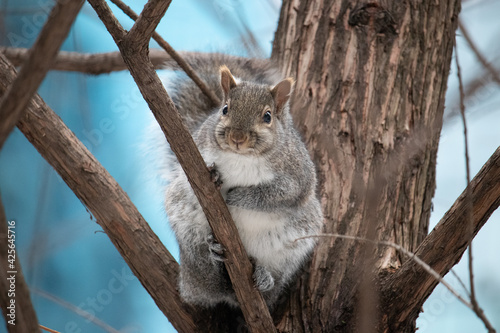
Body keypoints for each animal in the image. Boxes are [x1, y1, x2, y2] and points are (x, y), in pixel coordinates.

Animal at [160, 57, 324, 308]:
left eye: (267, 116)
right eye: (225, 109)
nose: (237, 137)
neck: (243, 157)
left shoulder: (298, 177)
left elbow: (277, 195)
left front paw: (239, 196)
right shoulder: (193, 156)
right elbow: (191, 181)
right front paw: (216, 177)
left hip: (294, 246)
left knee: (273, 285)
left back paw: (265, 279)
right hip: (188, 234)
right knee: (207, 281)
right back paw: (213, 258)